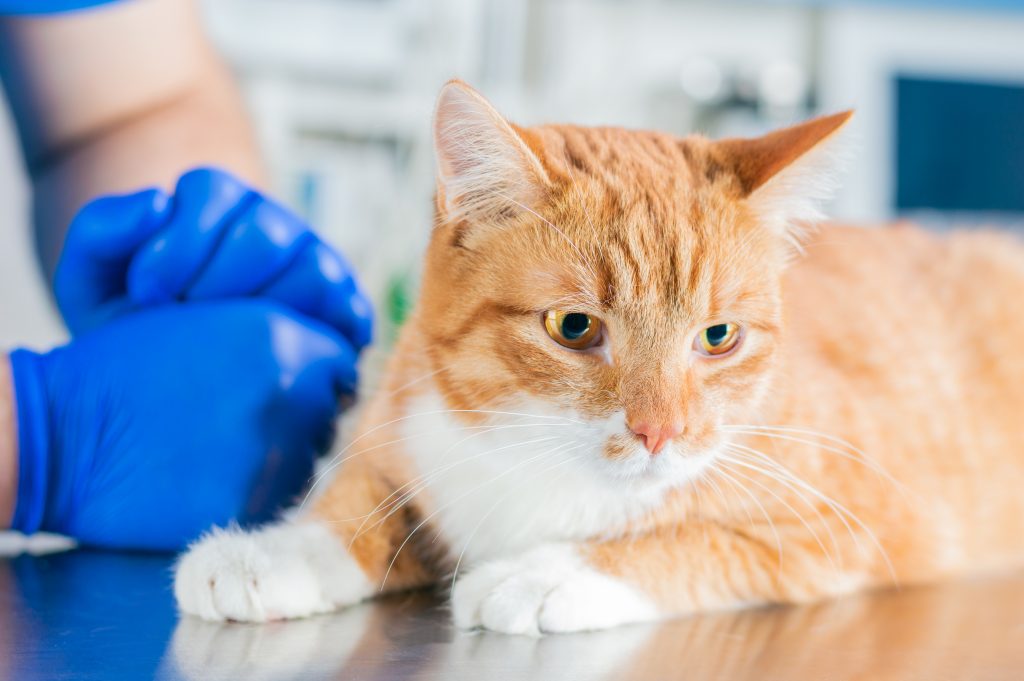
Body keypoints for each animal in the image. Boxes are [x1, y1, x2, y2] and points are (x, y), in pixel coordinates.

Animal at [172, 80, 1024, 639]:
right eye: (574, 326)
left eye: (719, 336)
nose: (660, 432)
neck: (536, 459)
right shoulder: (403, 422)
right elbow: (357, 492)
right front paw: (277, 548)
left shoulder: (855, 528)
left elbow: (700, 542)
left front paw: (549, 572)